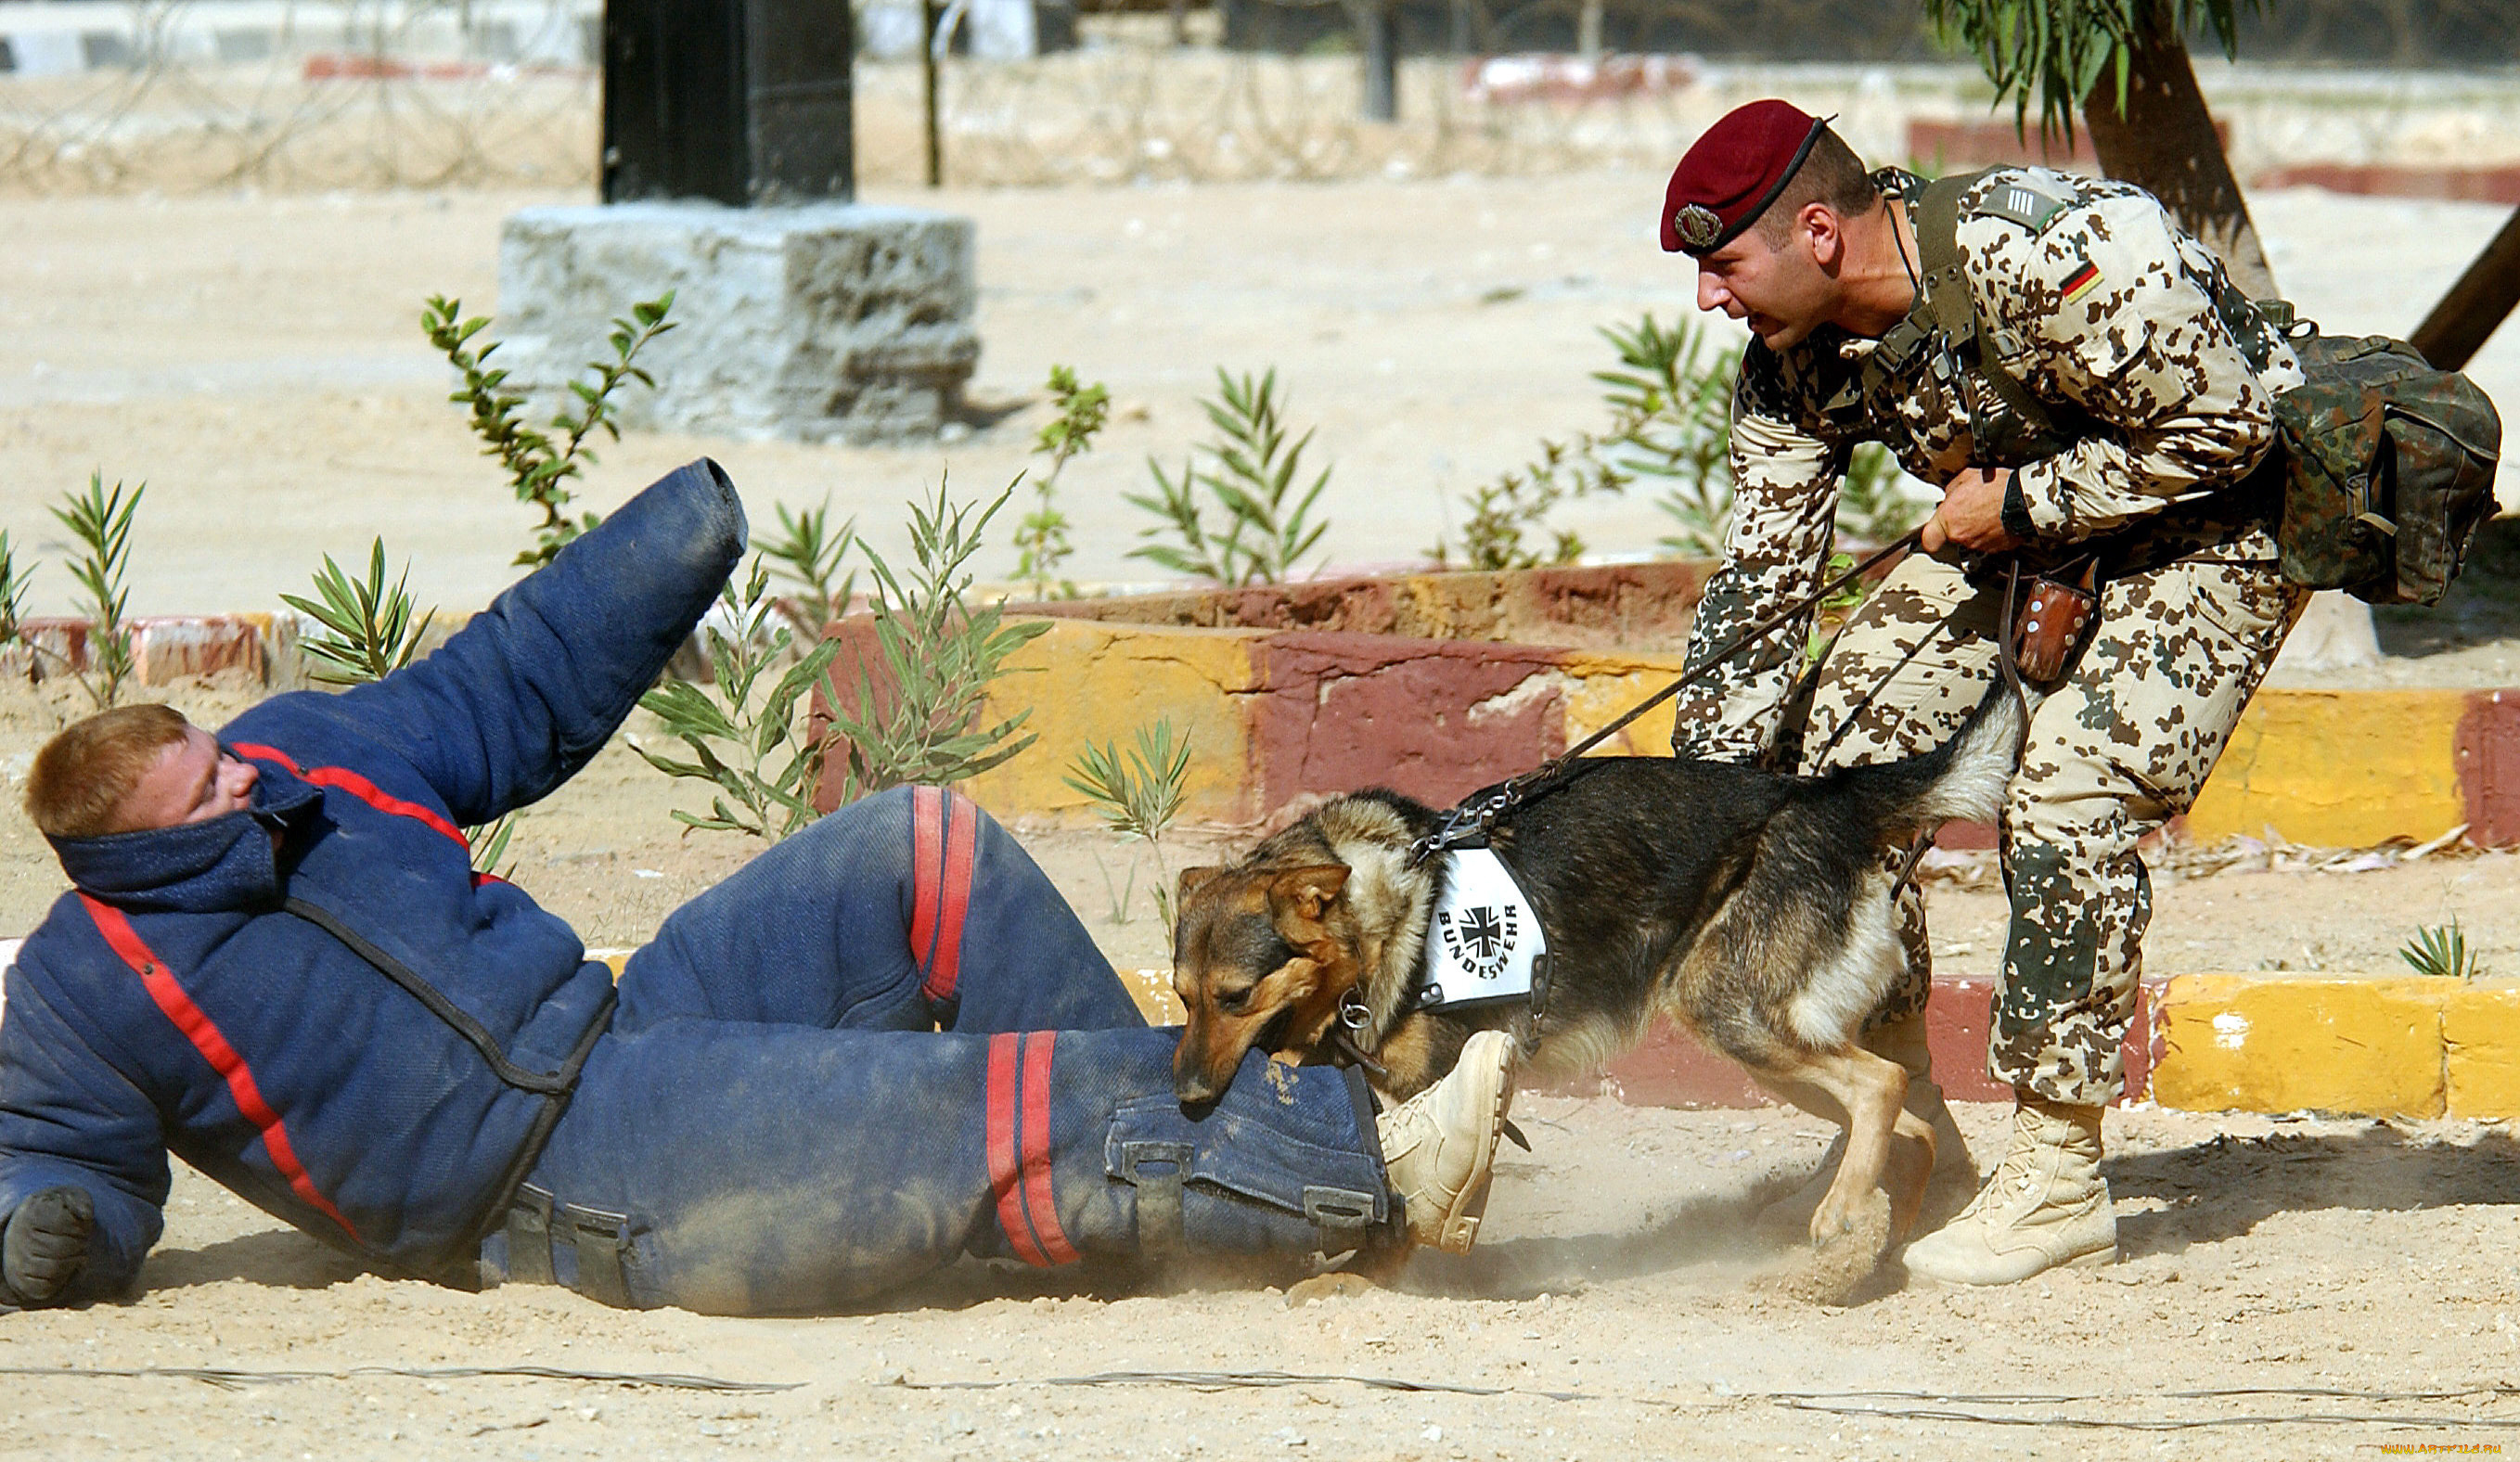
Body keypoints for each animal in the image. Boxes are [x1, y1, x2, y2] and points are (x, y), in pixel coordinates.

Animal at [1164, 690, 2025, 1265]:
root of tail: (1821, 797)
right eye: (1183, 998)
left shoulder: (1427, 1084)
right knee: (1911, 1121)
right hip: (1770, 1049)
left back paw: (1843, 1217)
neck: (1383, 914)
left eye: (1235, 997)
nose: (1189, 1102)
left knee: (1883, 1085)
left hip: (1730, 1015)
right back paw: (1875, 1245)